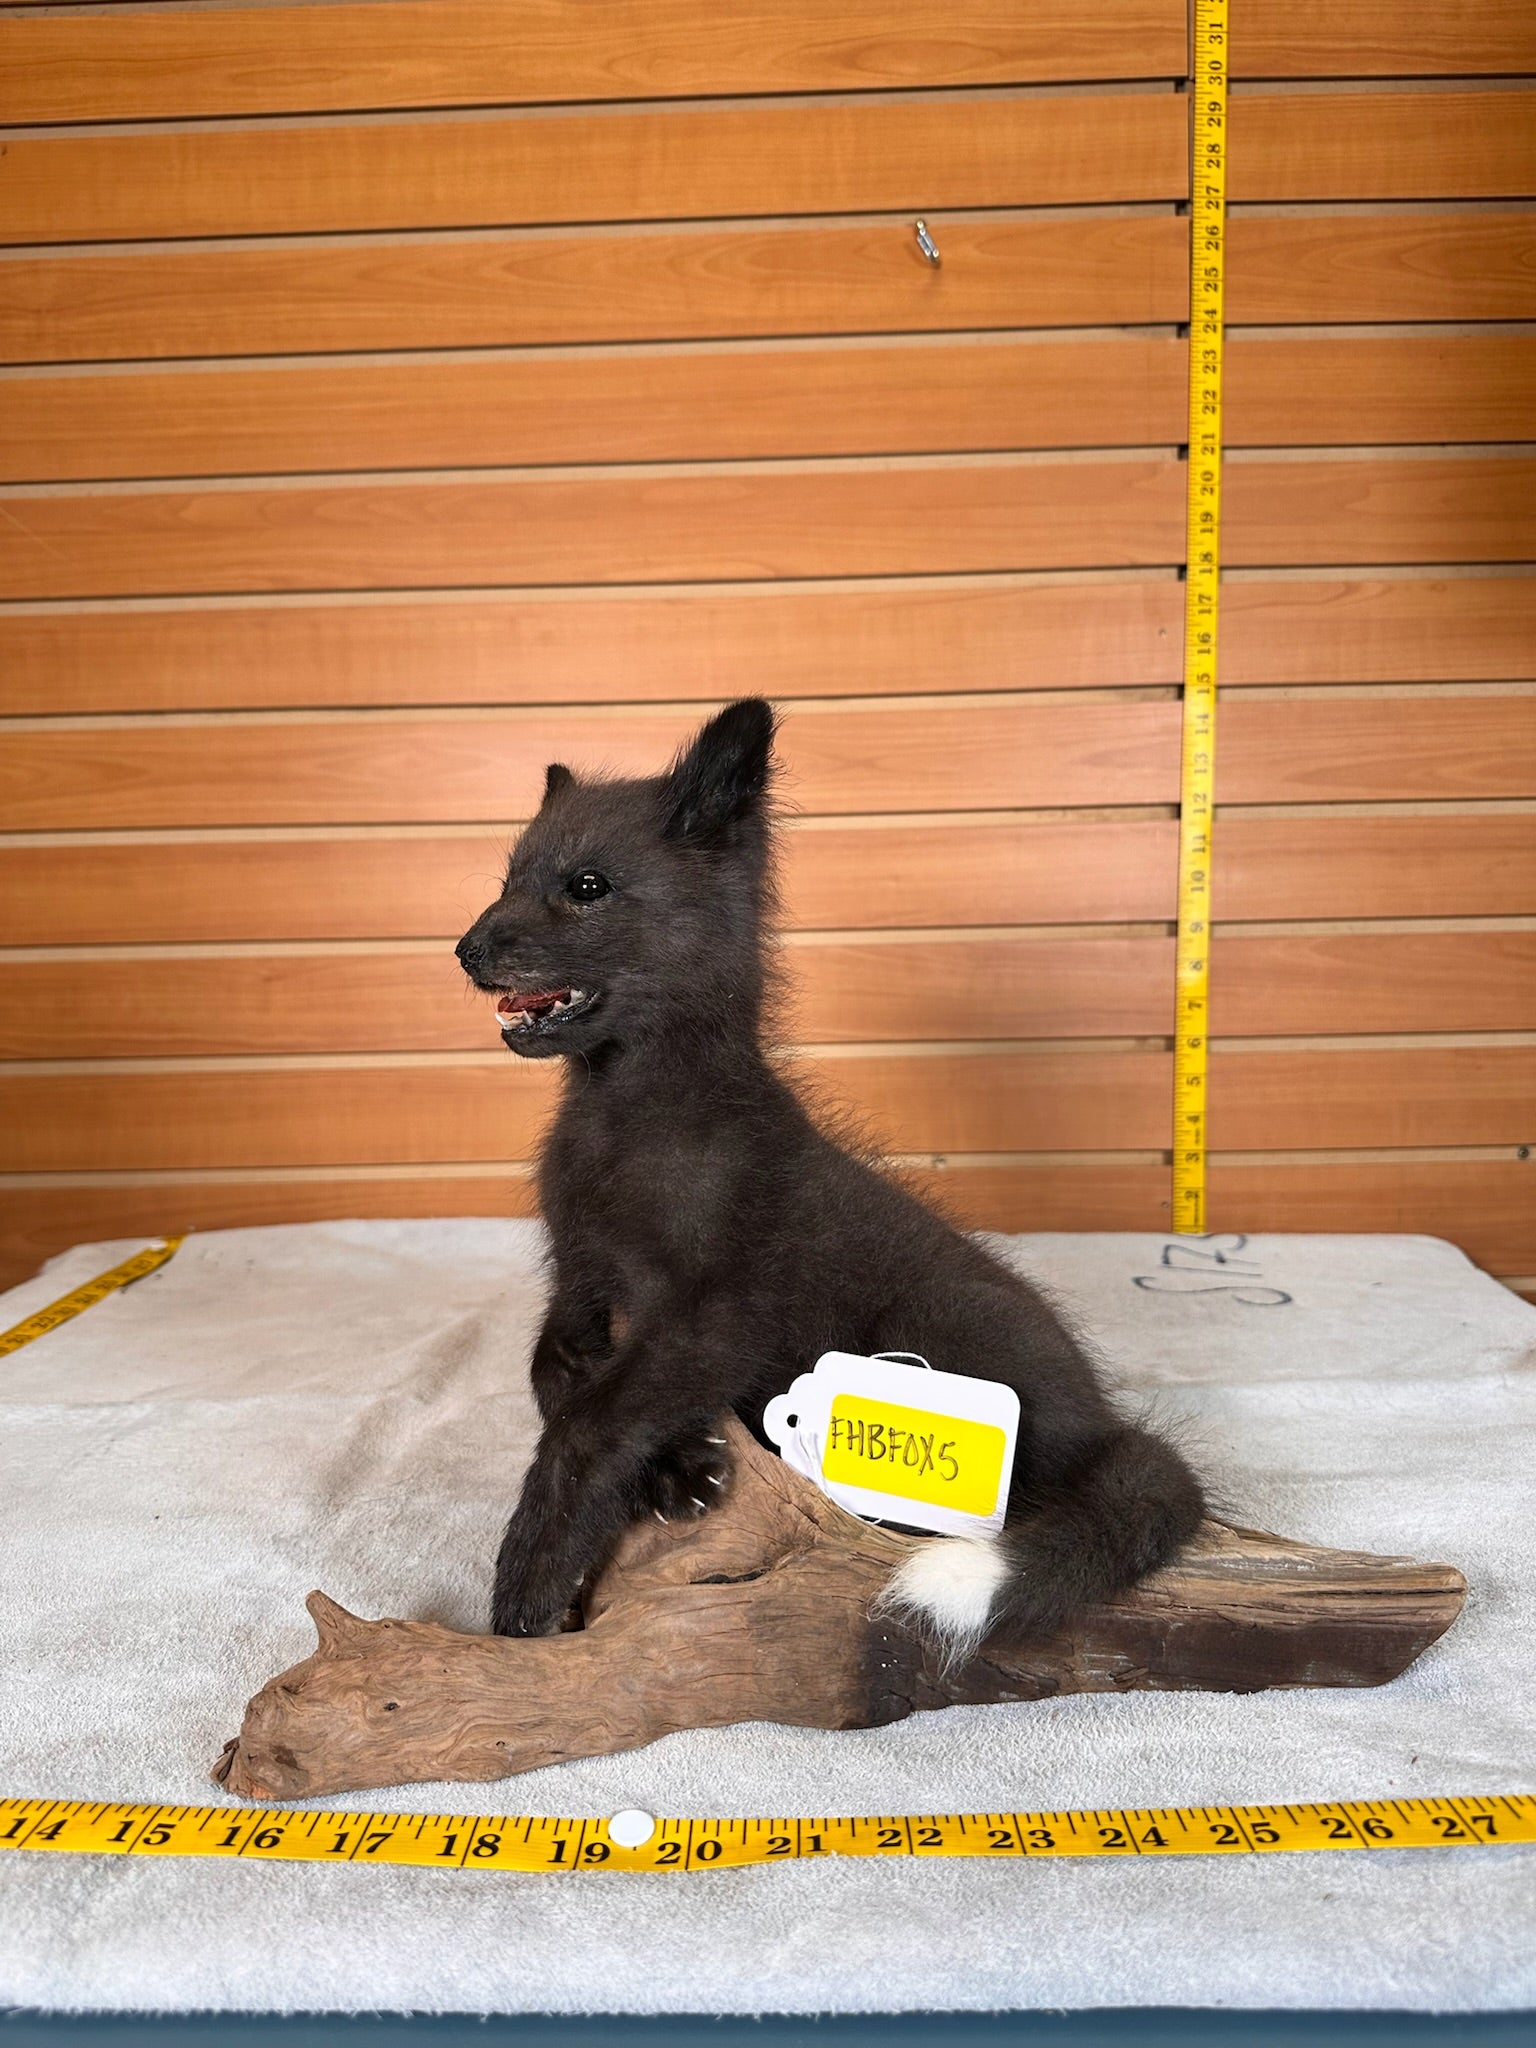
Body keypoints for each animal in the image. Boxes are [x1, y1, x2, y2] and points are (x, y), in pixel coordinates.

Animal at [456, 697, 1204, 1662]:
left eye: (586, 886)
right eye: (507, 878)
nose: (466, 949)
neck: (625, 1119)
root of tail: (1110, 1426)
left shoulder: (719, 1314)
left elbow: (591, 1421)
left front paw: (531, 1575)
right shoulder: (583, 1279)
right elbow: (553, 1377)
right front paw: (677, 1468)